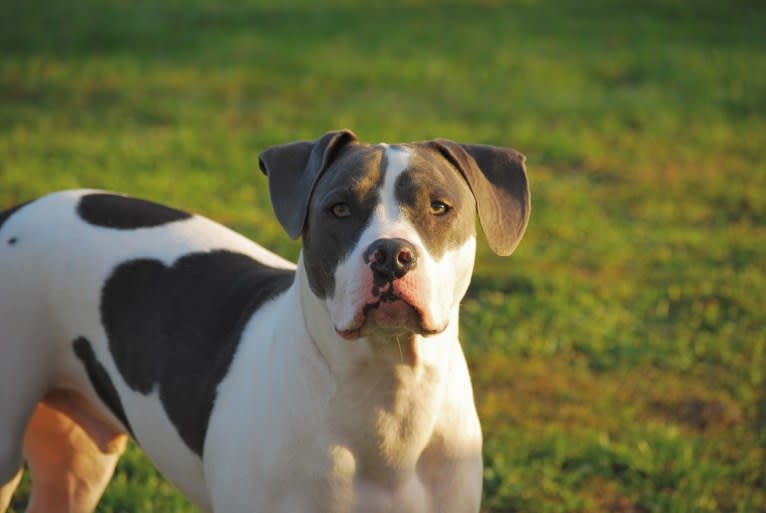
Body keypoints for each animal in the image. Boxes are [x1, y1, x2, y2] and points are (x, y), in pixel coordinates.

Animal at [0, 130, 532, 510]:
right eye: (339, 208)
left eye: (439, 207)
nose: (390, 256)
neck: (388, 393)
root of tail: (16, 212)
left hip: (78, 463)